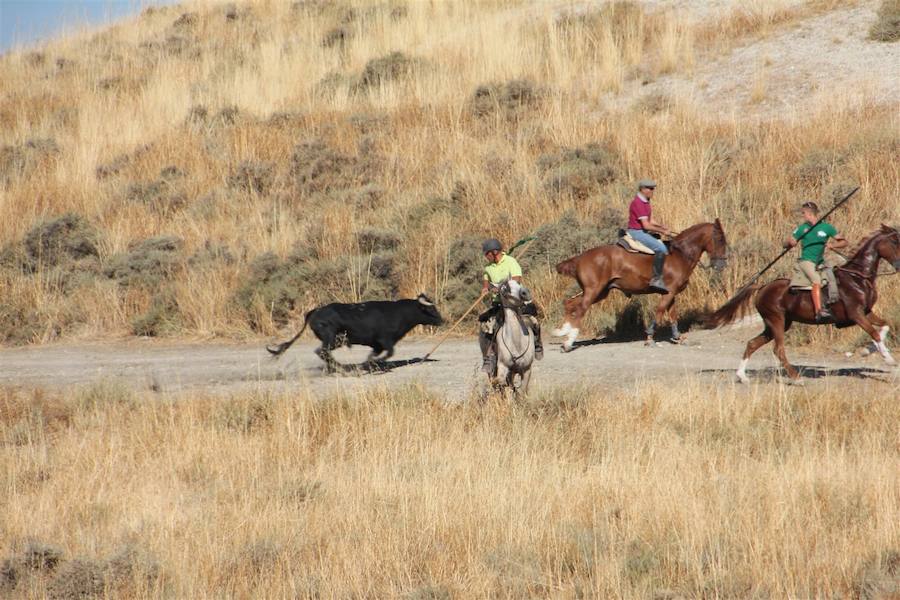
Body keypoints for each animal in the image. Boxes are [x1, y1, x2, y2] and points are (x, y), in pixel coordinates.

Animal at [266, 294, 444, 372]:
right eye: (431, 309)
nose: (443, 321)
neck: (400, 313)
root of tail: (315, 311)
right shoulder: (385, 340)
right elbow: (390, 353)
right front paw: (374, 365)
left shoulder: (377, 344)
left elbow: (376, 355)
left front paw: (370, 363)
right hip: (331, 338)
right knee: (322, 351)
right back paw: (340, 368)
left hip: (337, 341)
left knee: (323, 352)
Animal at [548, 220, 732, 352]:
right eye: (719, 239)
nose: (722, 265)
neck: (680, 255)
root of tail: (580, 258)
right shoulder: (669, 292)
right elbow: (660, 312)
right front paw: (649, 339)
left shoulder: (671, 293)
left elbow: (672, 315)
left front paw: (678, 337)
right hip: (594, 291)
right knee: (580, 309)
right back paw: (568, 343)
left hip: (600, 292)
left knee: (570, 304)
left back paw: (561, 332)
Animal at [712, 223, 900, 382]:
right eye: (894, 242)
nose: (899, 266)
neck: (857, 277)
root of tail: (762, 287)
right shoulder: (856, 314)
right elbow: (874, 333)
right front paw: (889, 359)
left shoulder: (867, 311)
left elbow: (885, 325)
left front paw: (868, 351)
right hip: (776, 320)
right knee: (778, 349)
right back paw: (796, 378)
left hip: (778, 323)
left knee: (752, 344)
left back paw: (742, 376)